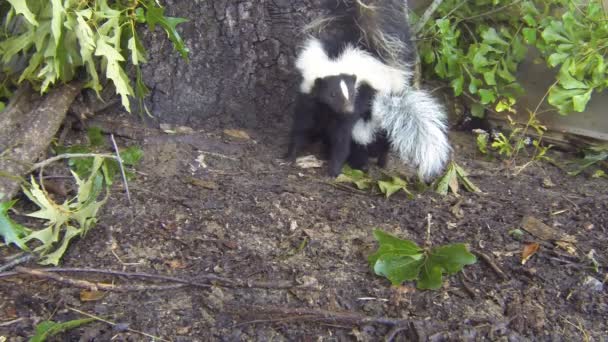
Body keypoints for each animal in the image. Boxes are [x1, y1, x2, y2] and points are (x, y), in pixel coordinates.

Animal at [286, 0, 452, 182]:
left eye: (352, 93)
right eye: (332, 94)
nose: (348, 109)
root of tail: (362, 39)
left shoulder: (355, 104)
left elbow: (341, 138)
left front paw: (334, 169)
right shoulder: (308, 97)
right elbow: (302, 125)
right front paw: (291, 155)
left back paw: (379, 161)